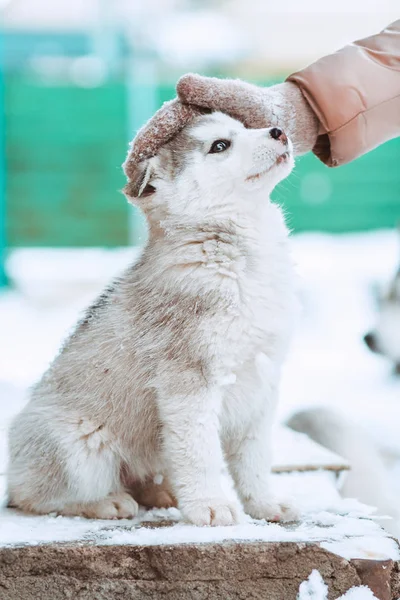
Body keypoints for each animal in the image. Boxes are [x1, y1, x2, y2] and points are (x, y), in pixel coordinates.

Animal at [7, 113, 298, 524]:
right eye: (220, 145)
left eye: (243, 127)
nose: (278, 130)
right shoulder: (189, 383)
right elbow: (200, 454)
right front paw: (210, 505)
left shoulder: (262, 379)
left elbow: (254, 458)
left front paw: (266, 504)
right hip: (80, 444)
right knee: (34, 497)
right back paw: (107, 502)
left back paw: (160, 492)